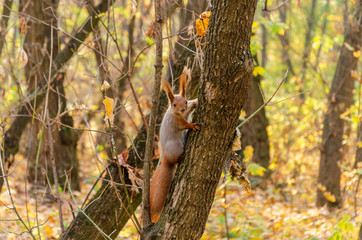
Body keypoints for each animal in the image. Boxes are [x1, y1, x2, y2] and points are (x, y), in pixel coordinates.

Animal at [150, 73, 201, 223]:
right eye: (174, 104)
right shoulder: (176, 122)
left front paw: (196, 101)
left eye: (186, 101)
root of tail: (166, 158)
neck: (179, 114)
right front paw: (192, 125)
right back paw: (180, 157)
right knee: (176, 160)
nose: (183, 109)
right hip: (175, 145)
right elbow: (184, 124)